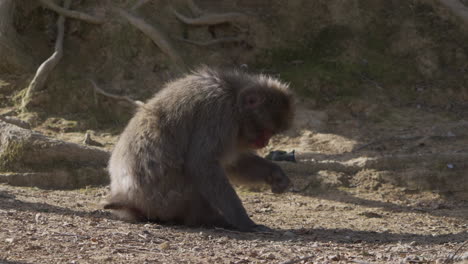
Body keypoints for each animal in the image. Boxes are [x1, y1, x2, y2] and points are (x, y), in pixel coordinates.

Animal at [104, 67, 294, 232]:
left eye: (271, 133)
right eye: (265, 131)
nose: (265, 142)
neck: (232, 94)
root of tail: (128, 199)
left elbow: (232, 164)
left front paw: (275, 174)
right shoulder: (219, 114)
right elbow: (203, 164)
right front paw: (244, 221)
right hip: (165, 199)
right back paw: (212, 219)